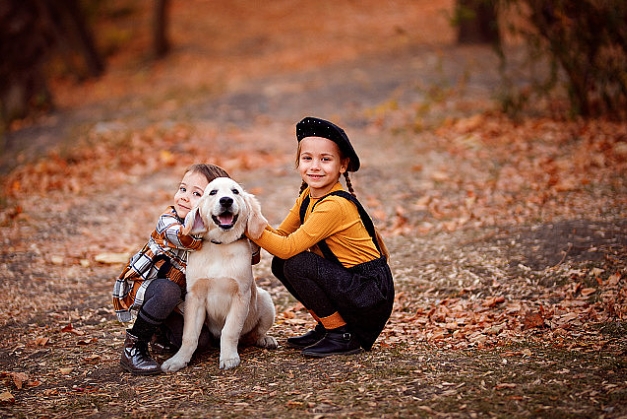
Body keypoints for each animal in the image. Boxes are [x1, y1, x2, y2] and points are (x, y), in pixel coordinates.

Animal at [162, 177, 278, 374]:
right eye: (213, 192)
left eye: (235, 192)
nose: (226, 201)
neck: (220, 245)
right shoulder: (195, 297)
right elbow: (189, 335)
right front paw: (178, 360)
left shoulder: (241, 296)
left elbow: (229, 331)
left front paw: (229, 358)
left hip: (265, 300)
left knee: (255, 333)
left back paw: (265, 339)